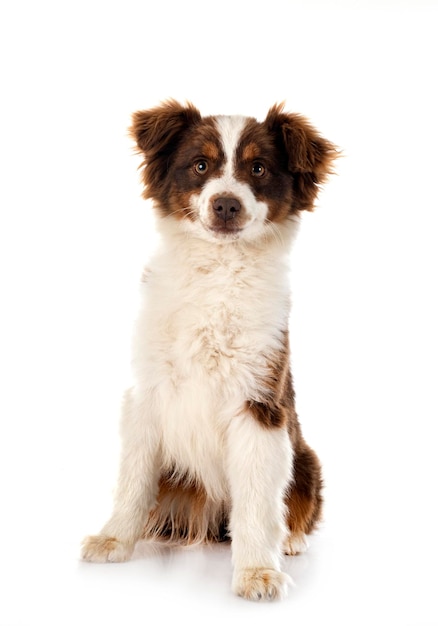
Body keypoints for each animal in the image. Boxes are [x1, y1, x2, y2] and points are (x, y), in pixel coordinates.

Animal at [81, 100, 336, 596]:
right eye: (201, 165)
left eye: (258, 168)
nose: (226, 204)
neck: (218, 268)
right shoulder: (147, 392)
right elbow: (133, 477)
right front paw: (114, 538)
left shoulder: (260, 401)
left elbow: (257, 499)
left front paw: (257, 570)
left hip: (306, 458)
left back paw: (289, 539)